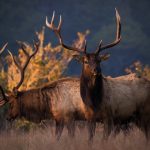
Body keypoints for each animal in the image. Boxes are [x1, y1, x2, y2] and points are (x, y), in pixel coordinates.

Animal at [45, 8, 150, 138]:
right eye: (85, 61)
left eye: (99, 60)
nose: (97, 70)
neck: (94, 103)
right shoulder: (89, 117)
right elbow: (90, 138)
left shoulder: (109, 116)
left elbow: (105, 138)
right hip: (137, 118)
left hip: (145, 111)